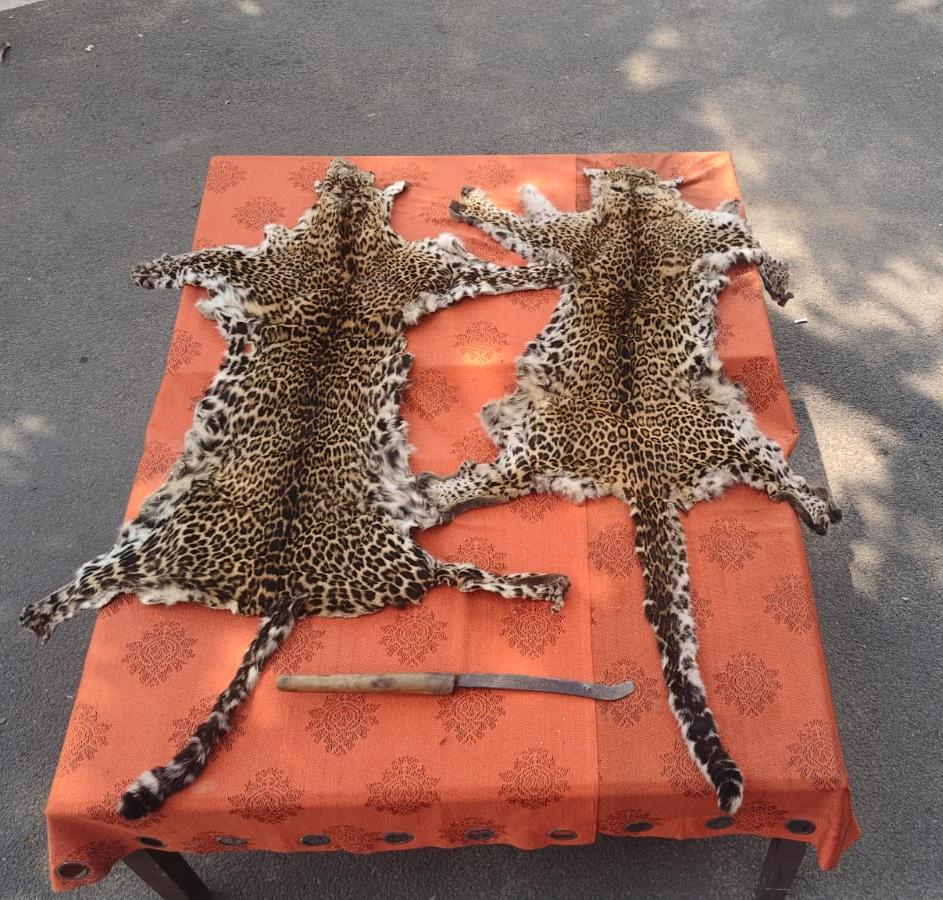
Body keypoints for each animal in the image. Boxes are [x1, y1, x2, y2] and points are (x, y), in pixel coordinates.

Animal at [19, 159, 572, 820]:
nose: (347, 167)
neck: (346, 229)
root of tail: (288, 588)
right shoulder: (422, 271)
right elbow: (207, 253)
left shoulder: (292, 265)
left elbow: (208, 254)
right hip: (370, 554)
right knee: (455, 572)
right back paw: (544, 581)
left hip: (160, 546)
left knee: (78, 588)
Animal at [419, 166, 841, 814]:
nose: (605, 178)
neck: (637, 200)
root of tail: (643, 473)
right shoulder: (620, 238)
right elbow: (741, 233)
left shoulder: (584, 239)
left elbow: (526, 224)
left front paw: (480, 201)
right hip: (719, 435)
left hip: (570, 439)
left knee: (487, 484)